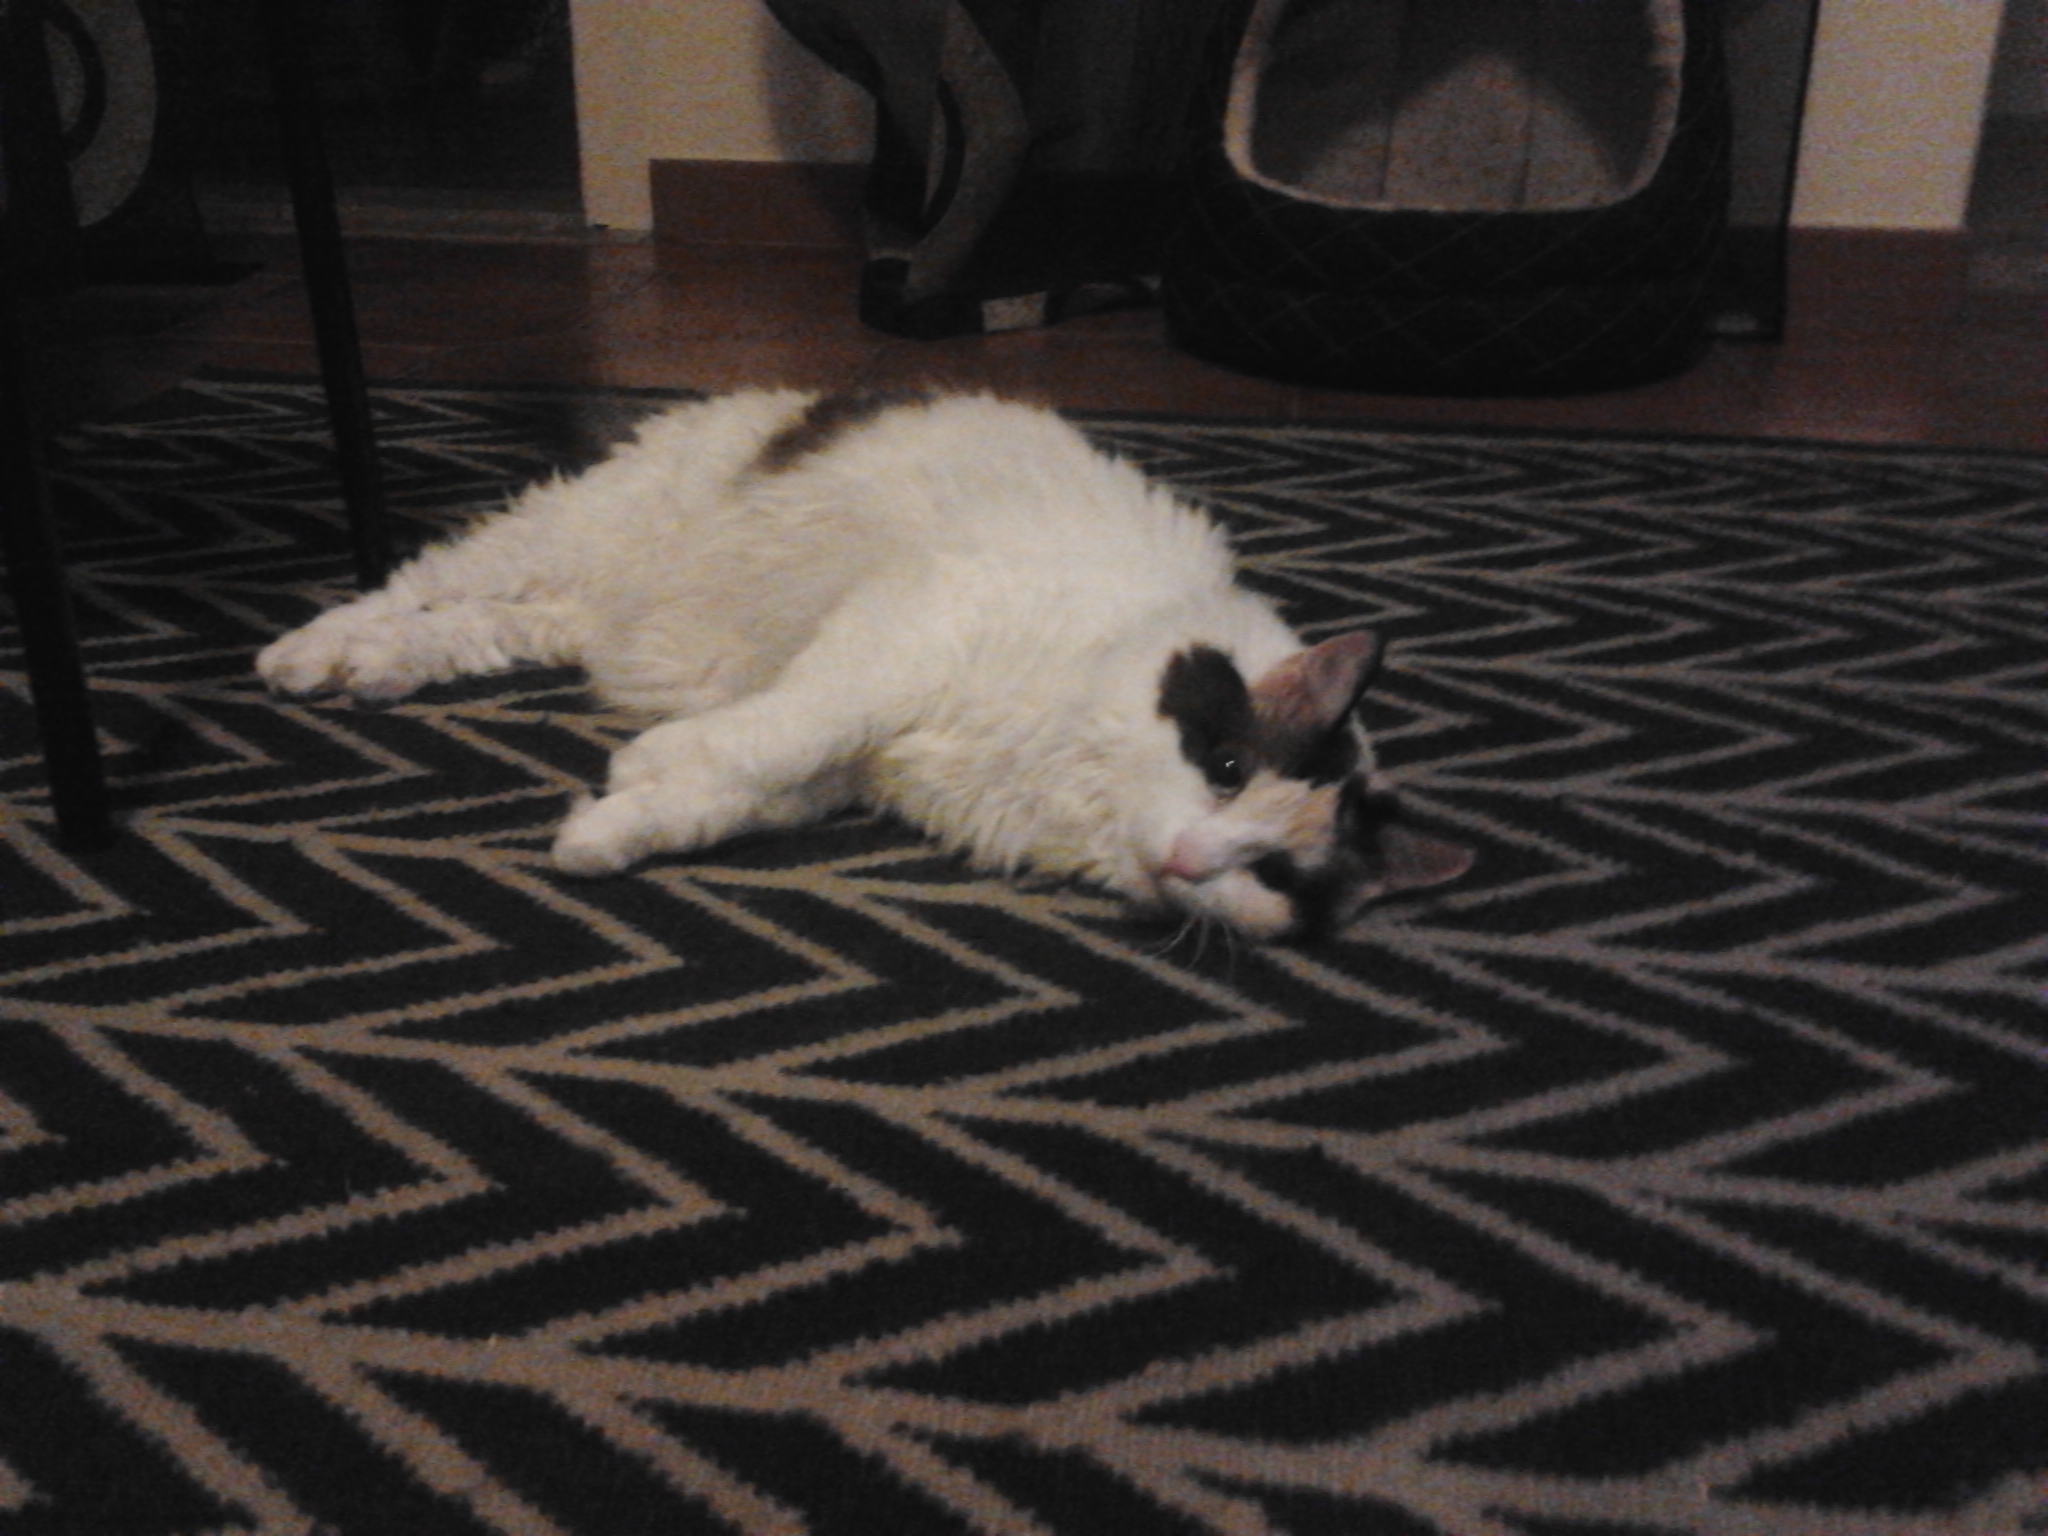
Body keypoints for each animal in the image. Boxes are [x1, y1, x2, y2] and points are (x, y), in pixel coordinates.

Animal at [258, 389, 1472, 941]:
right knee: (417, 579)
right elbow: (772, 731)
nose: (1186, 857)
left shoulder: (850, 770)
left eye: (1274, 873)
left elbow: (725, 798)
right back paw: (304, 653)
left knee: (453, 628)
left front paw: (608, 830)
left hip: (564, 610)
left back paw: (369, 669)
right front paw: (645, 768)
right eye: (1223, 770)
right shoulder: (898, 637)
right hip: (565, 536)